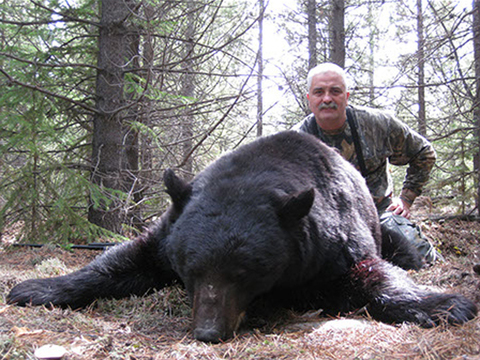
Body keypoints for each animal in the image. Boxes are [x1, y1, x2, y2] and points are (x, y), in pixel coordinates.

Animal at [7, 131, 476, 344]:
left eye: (246, 271)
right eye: (191, 268)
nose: (208, 331)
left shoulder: (332, 248)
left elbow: (373, 274)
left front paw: (445, 303)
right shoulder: (168, 232)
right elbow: (124, 259)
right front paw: (37, 287)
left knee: (403, 247)